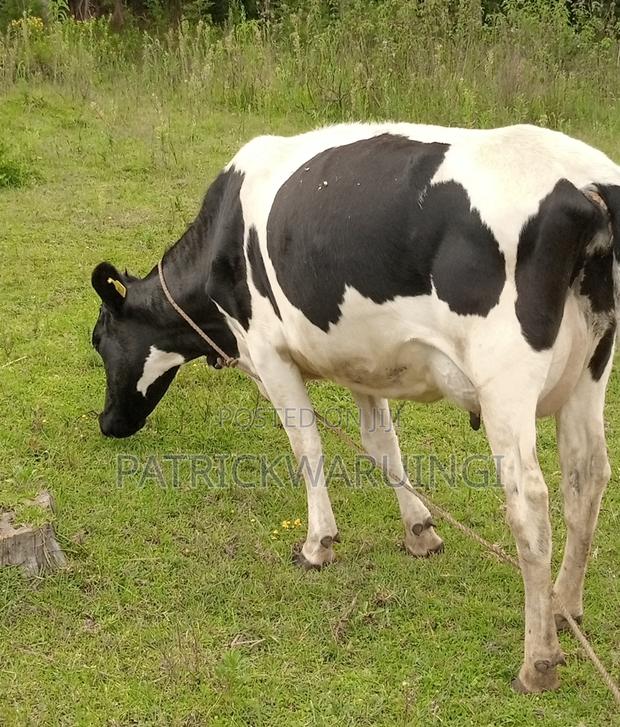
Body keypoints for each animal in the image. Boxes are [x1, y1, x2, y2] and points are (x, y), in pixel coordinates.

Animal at [90, 122, 620, 693]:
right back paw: (564, 606)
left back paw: (538, 660)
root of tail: (586, 180)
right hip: (592, 366)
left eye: (98, 339)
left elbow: (306, 443)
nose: (108, 423)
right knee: (587, 475)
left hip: (505, 377)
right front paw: (420, 530)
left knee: (530, 500)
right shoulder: (366, 361)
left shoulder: (268, 352)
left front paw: (318, 544)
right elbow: (382, 446)